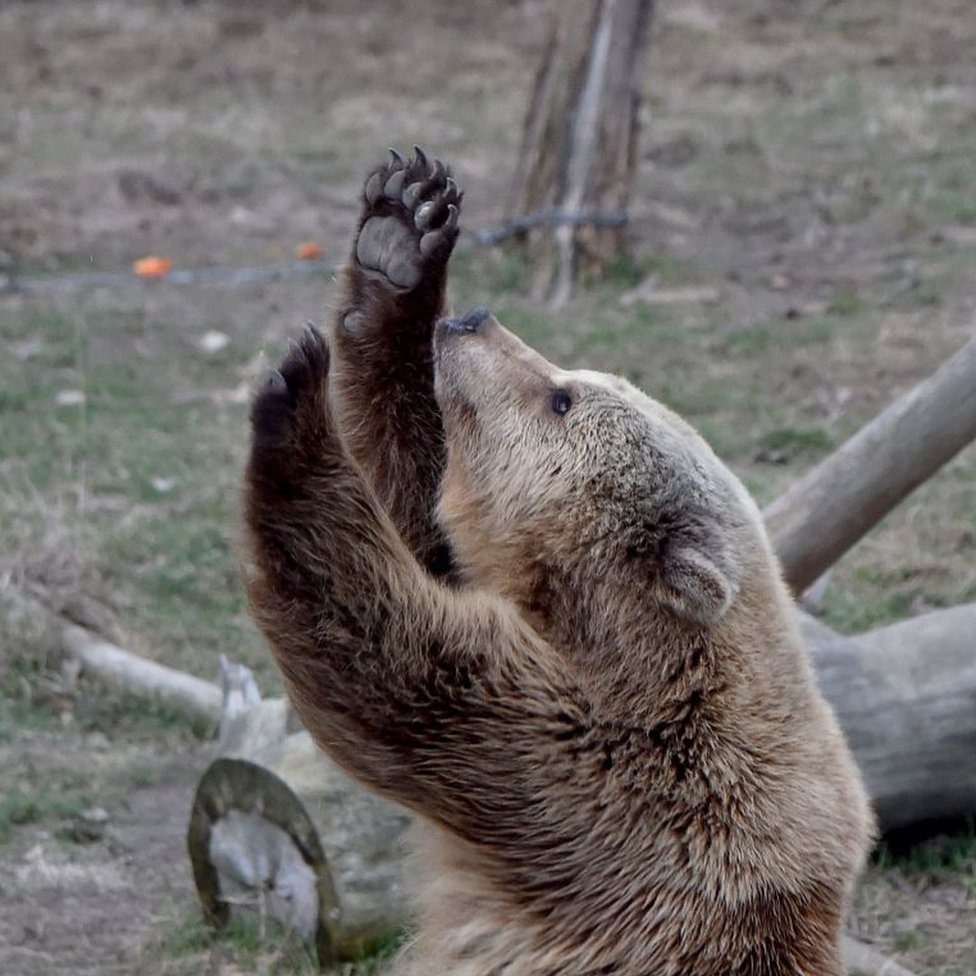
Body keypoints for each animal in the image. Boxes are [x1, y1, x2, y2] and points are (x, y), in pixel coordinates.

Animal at [242, 151, 868, 976]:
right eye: (571, 376)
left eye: (562, 397)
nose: (472, 319)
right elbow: (422, 516)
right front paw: (403, 232)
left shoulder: (594, 770)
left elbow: (386, 666)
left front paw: (296, 407)